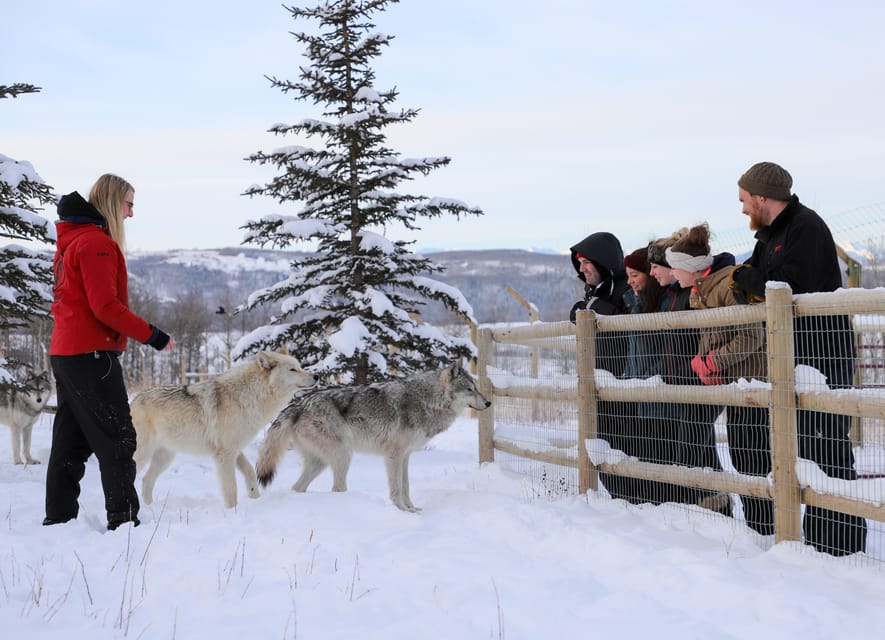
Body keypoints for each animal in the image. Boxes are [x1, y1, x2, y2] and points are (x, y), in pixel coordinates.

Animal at [131, 350, 318, 510]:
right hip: (143, 455)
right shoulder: (225, 454)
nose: (316, 375)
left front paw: (255, 498)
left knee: (147, 480)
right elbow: (231, 489)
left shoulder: (235, 450)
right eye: (293, 369)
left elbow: (250, 472)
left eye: (300, 366)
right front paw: (232, 513)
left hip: (165, 457)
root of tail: (134, 400)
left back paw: (150, 508)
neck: (249, 396)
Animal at [254, 362, 490, 512]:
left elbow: (406, 486)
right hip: (344, 455)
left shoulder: (405, 456)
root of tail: (298, 405)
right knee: (336, 488)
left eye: (476, 388)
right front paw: (401, 511)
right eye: (470, 389)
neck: (428, 400)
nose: (488, 403)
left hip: (320, 463)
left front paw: (412, 509)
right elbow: (396, 488)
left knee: (297, 488)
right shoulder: (393, 455)